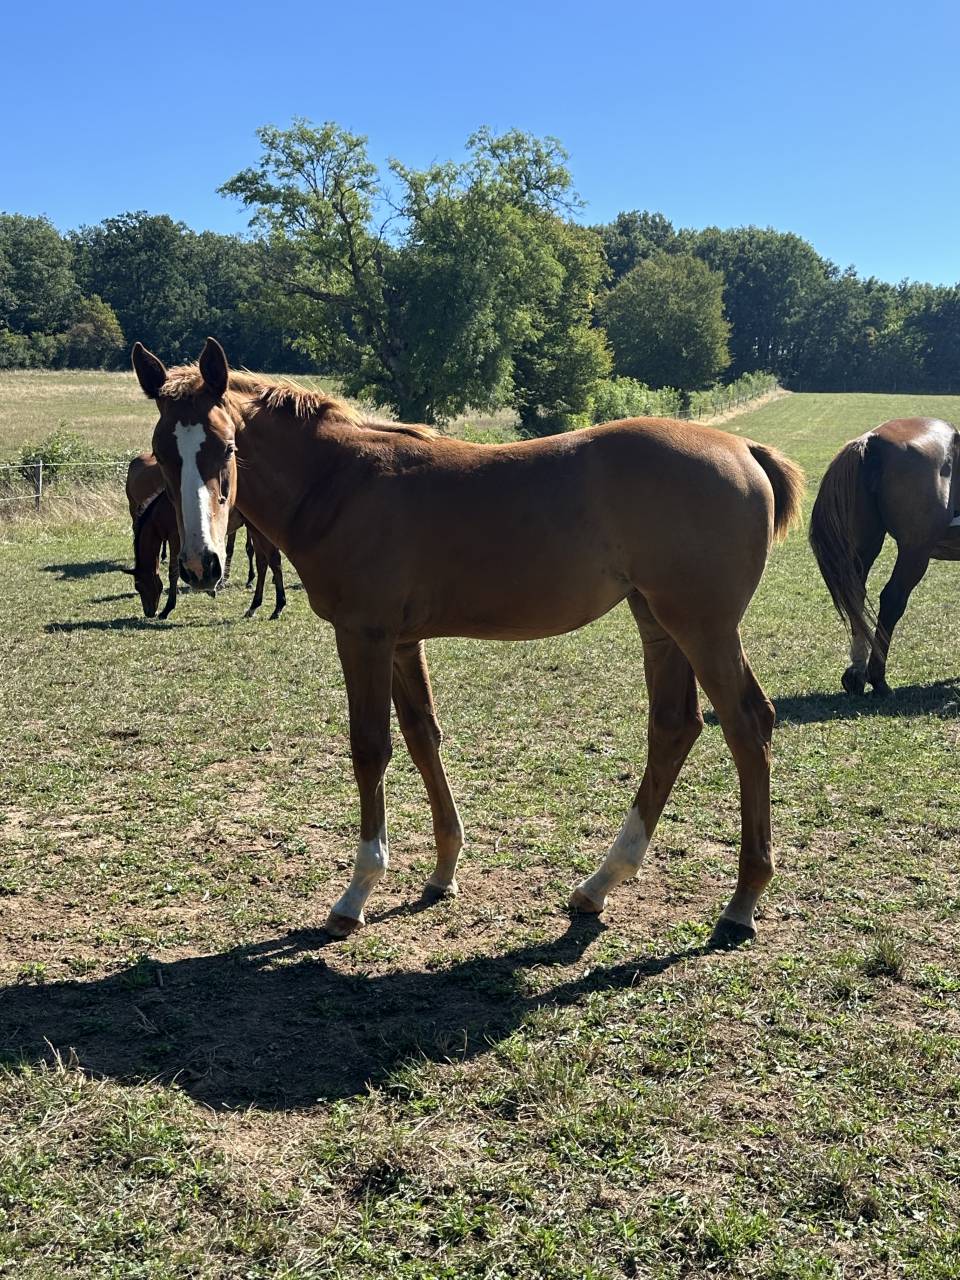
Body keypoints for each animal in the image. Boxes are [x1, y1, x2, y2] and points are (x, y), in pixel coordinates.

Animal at [131, 488, 287, 621]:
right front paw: (210, 589)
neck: (162, 511)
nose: (149, 612)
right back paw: (254, 606)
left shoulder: (175, 539)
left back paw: (278, 607)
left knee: (273, 560)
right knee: (263, 563)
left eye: (139, 586)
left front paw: (167, 609)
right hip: (255, 529)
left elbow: (173, 573)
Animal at [810, 418, 960, 696]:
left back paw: (856, 673)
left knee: (856, 596)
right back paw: (877, 678)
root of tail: (871, 441)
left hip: (865, 546)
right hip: (915, 550)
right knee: (891, 599)